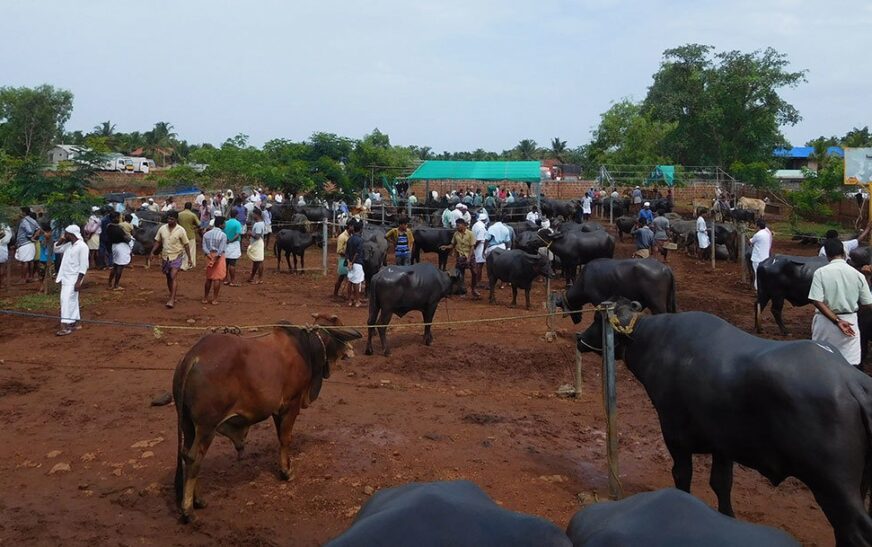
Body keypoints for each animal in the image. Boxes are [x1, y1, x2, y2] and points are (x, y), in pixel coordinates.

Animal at [174, 312, 362, 524]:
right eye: (339, 326)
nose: (351, 351)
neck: (305, 347)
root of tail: (193, 357)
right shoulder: (291, 404)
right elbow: (286, 438)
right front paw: (287, 472)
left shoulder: (277, 410)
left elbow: (280, 437)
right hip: (207, 426)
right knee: (193, 459)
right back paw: (189, 510)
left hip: (188, 424)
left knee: (186, 455)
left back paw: (198, 500)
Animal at [576, 300, 872, 547]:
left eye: (597, 318)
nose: (580, 339)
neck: (653, 342)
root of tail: (852, 381)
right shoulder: (723, 444)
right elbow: (721, 483)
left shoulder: (674, 434)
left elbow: (682, 475)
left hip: (834, 486)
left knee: (855, 530)